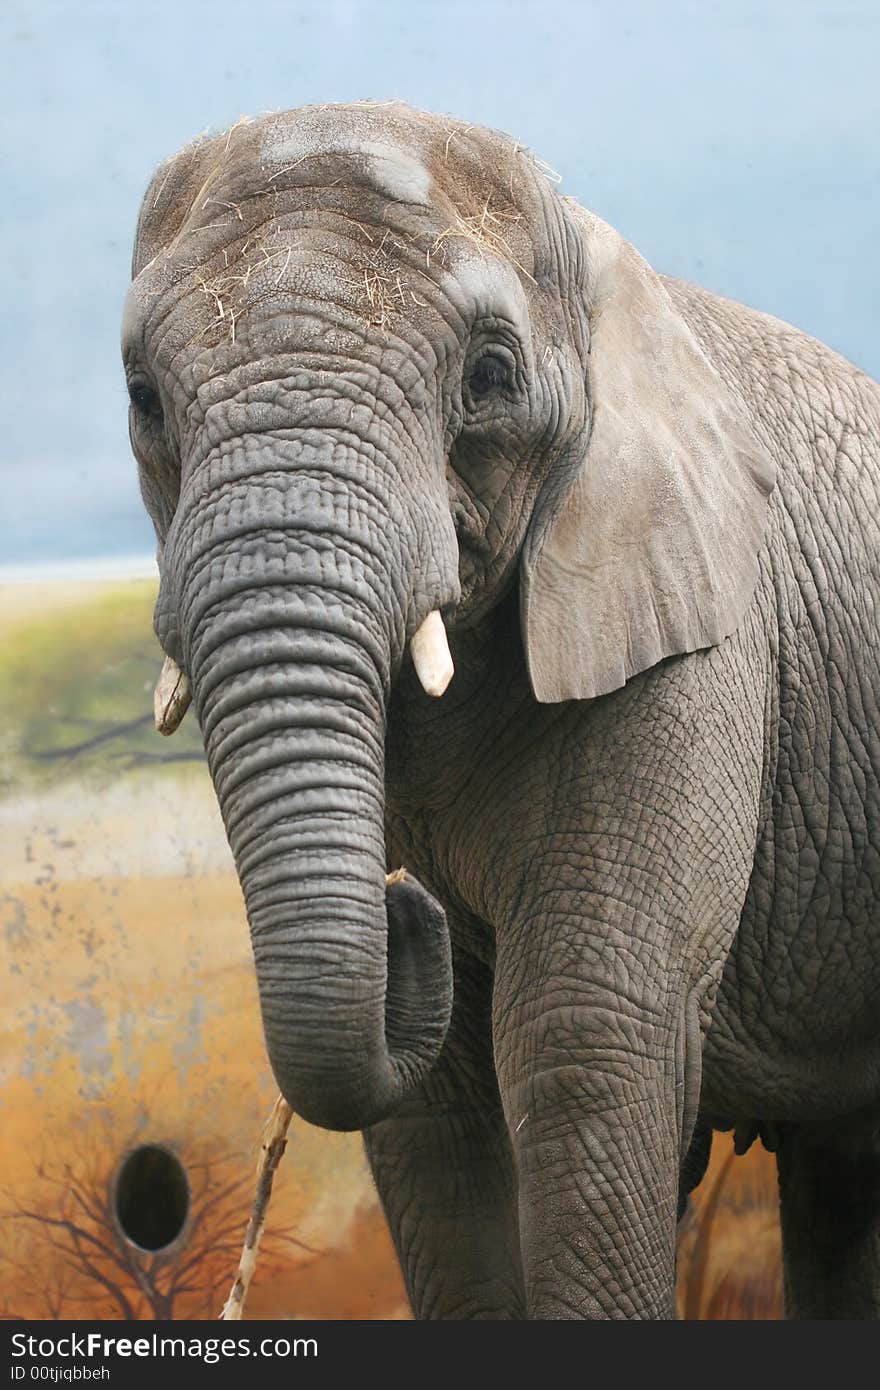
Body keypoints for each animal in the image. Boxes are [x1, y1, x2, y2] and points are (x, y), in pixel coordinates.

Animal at [121, 102, 878, 1317]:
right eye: (143, 396)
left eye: (488, 374)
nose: (407, 903)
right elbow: (438, 1105)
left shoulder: (694, 634)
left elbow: (585, 1029)